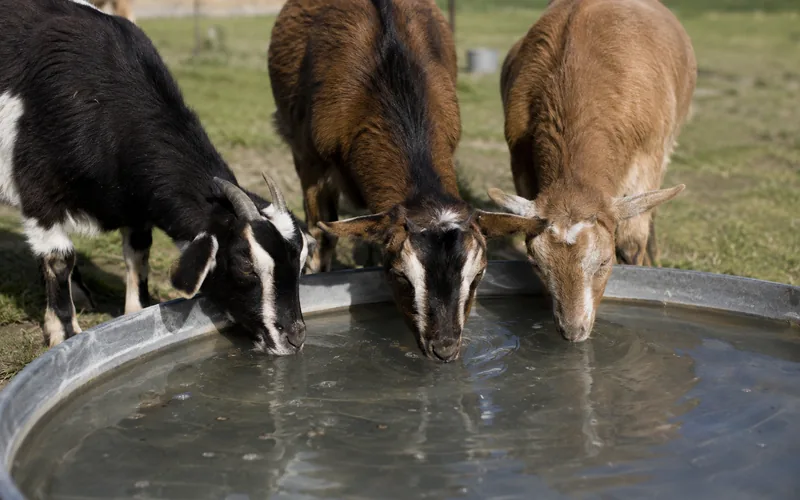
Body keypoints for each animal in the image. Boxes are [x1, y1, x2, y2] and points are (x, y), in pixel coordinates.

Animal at [0, 0, 313, 354]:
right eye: (245, 264)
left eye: (301, 261)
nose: (294, 337)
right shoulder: (39, 193)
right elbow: (58, 258)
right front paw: (65, 334)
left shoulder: (136, 208)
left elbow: (138, 255)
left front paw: (136, 312)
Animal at [489, 0, 696, 342]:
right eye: (537, 265)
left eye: (603, 263)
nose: (573, 331)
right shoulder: (520, 162)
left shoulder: (649, 154)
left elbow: (631, 242)